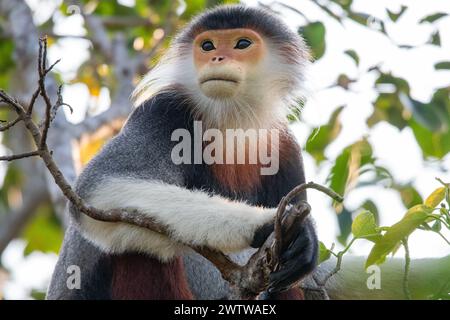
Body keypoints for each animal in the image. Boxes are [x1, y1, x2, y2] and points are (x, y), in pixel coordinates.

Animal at [46, 5, 316, 300]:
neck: (234, 122)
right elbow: (99, 187)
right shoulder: (162, 110)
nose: (217, 58)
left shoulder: (285, 147)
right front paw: (268, 224)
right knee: (138, 246)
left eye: (242, 44)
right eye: (207, 46)